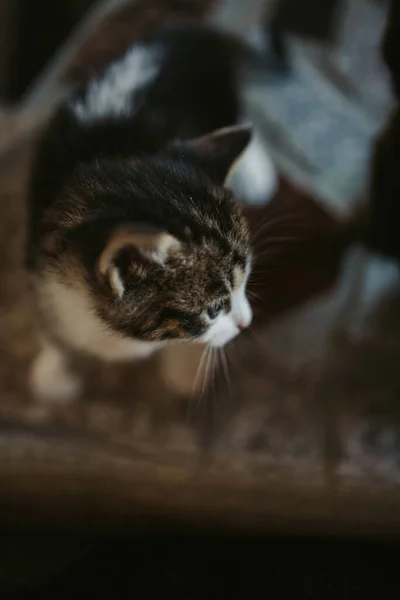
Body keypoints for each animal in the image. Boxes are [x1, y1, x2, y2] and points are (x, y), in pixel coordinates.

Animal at [26, 23, 270, 404]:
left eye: (246, 281)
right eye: (215, 309)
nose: (248, 322)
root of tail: (195, 30)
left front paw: (185, 366)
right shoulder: (39, 241)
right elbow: (50, 321)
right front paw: (55, 369)